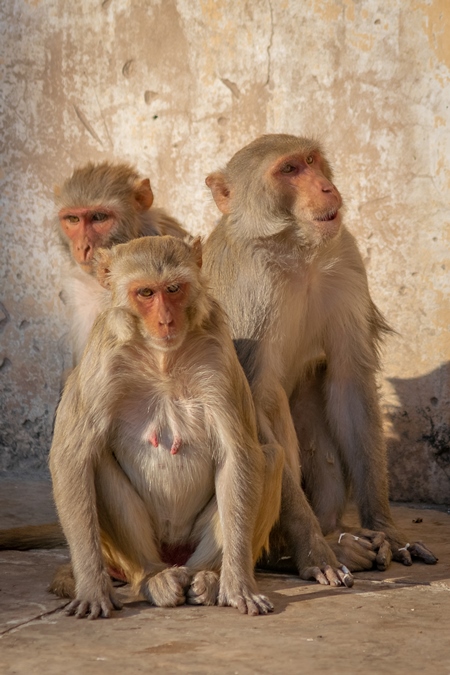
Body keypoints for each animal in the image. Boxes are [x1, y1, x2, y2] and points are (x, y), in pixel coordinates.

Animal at [49, 236, 282, 616]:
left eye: (173, 289)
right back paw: (153, 578)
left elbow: (239, 455)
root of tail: (175, 556)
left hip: (192, 542)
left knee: (269, 458)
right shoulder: (103, 357)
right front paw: (93, 589)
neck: (162, 359)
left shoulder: (216, 353)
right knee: (95, 462)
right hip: (146, 550)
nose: (166, 320)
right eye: (145, 292)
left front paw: (238, 585)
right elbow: (73, 455)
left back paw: (208, 576)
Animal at [203, 136, 436, 576]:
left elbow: (349, 381)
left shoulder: (346, 258)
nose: (326, 187)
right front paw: (313, 550)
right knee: (274, 401)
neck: (296, 250)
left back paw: (338, 532)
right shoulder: (249, 295)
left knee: (314, 384)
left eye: (311, 160)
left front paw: (387, 530)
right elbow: (252, 400)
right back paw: (292, 550)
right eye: (289, 170)